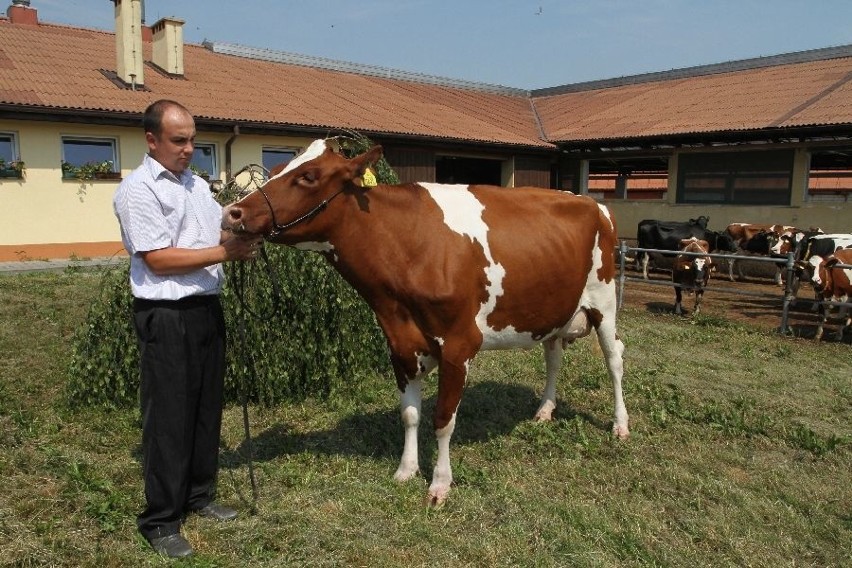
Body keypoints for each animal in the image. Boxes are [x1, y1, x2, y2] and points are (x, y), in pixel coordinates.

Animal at [223, 138, 628, 506]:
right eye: (276, 169)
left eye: (308, 176)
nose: (232, 213)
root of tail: (590, 201)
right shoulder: (399, 344)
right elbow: (410, 414)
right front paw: (406, 470)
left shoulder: (459, 345)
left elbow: (443, 419)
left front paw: (439, 485)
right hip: (554, 309)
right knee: (554, 357)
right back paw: (544, 410)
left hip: (604, 302)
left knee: (614, 360)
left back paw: (620, 425)